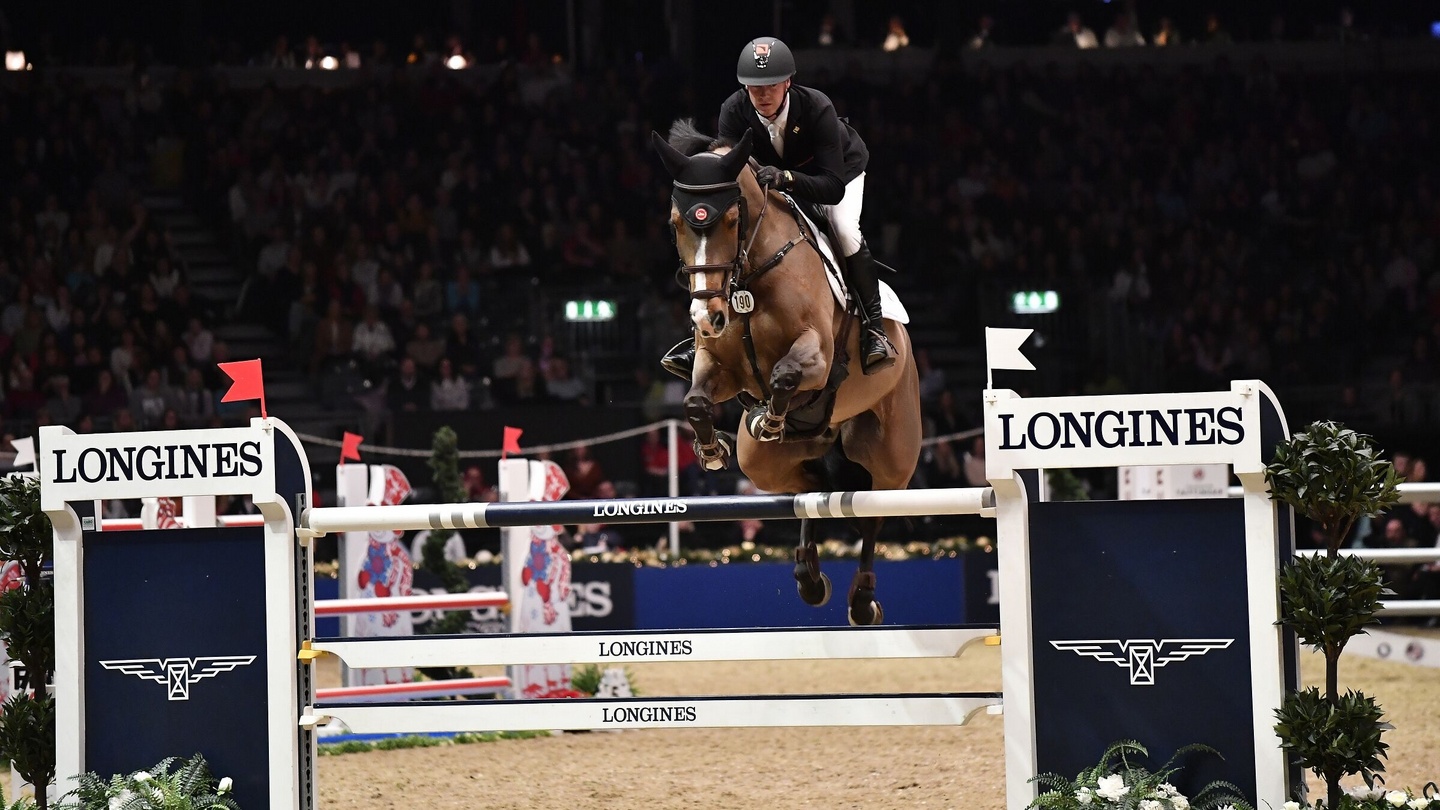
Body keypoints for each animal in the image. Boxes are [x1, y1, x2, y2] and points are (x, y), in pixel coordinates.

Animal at [653, 119, 921, 625]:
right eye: (676, 223)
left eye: (731, 221)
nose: (706, 317)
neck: (751, 273)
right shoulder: (719, 366)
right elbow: (696, 399)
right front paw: (712, 449)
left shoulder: (816, 356)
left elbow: (784, 375)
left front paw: (771, 419)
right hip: (764, 464)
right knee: (808, 491)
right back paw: (810, 578)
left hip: (891, 452)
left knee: (874, 512)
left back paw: (862, 600)